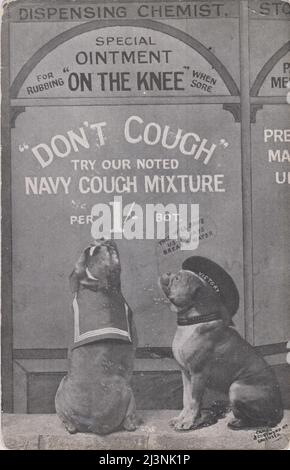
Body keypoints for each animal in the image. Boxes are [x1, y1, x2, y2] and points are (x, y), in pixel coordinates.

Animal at [56, 241, 140, 436]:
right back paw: (134, 422)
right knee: (129, 422)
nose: (104, 239)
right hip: (128, 390)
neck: (96, 285)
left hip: (61, 385)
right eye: (109, 253)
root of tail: (92, 423)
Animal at [159, 258, 284, 432]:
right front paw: (181, 418)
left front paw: (188, 421)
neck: (194, 321)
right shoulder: (186, 373)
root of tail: (279, 410)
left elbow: (194, 401)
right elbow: (186, 399)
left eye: (177, 278)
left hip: (236, 387)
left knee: (261, 419)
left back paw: (238, 422)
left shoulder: (198, 374)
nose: (167, 272)